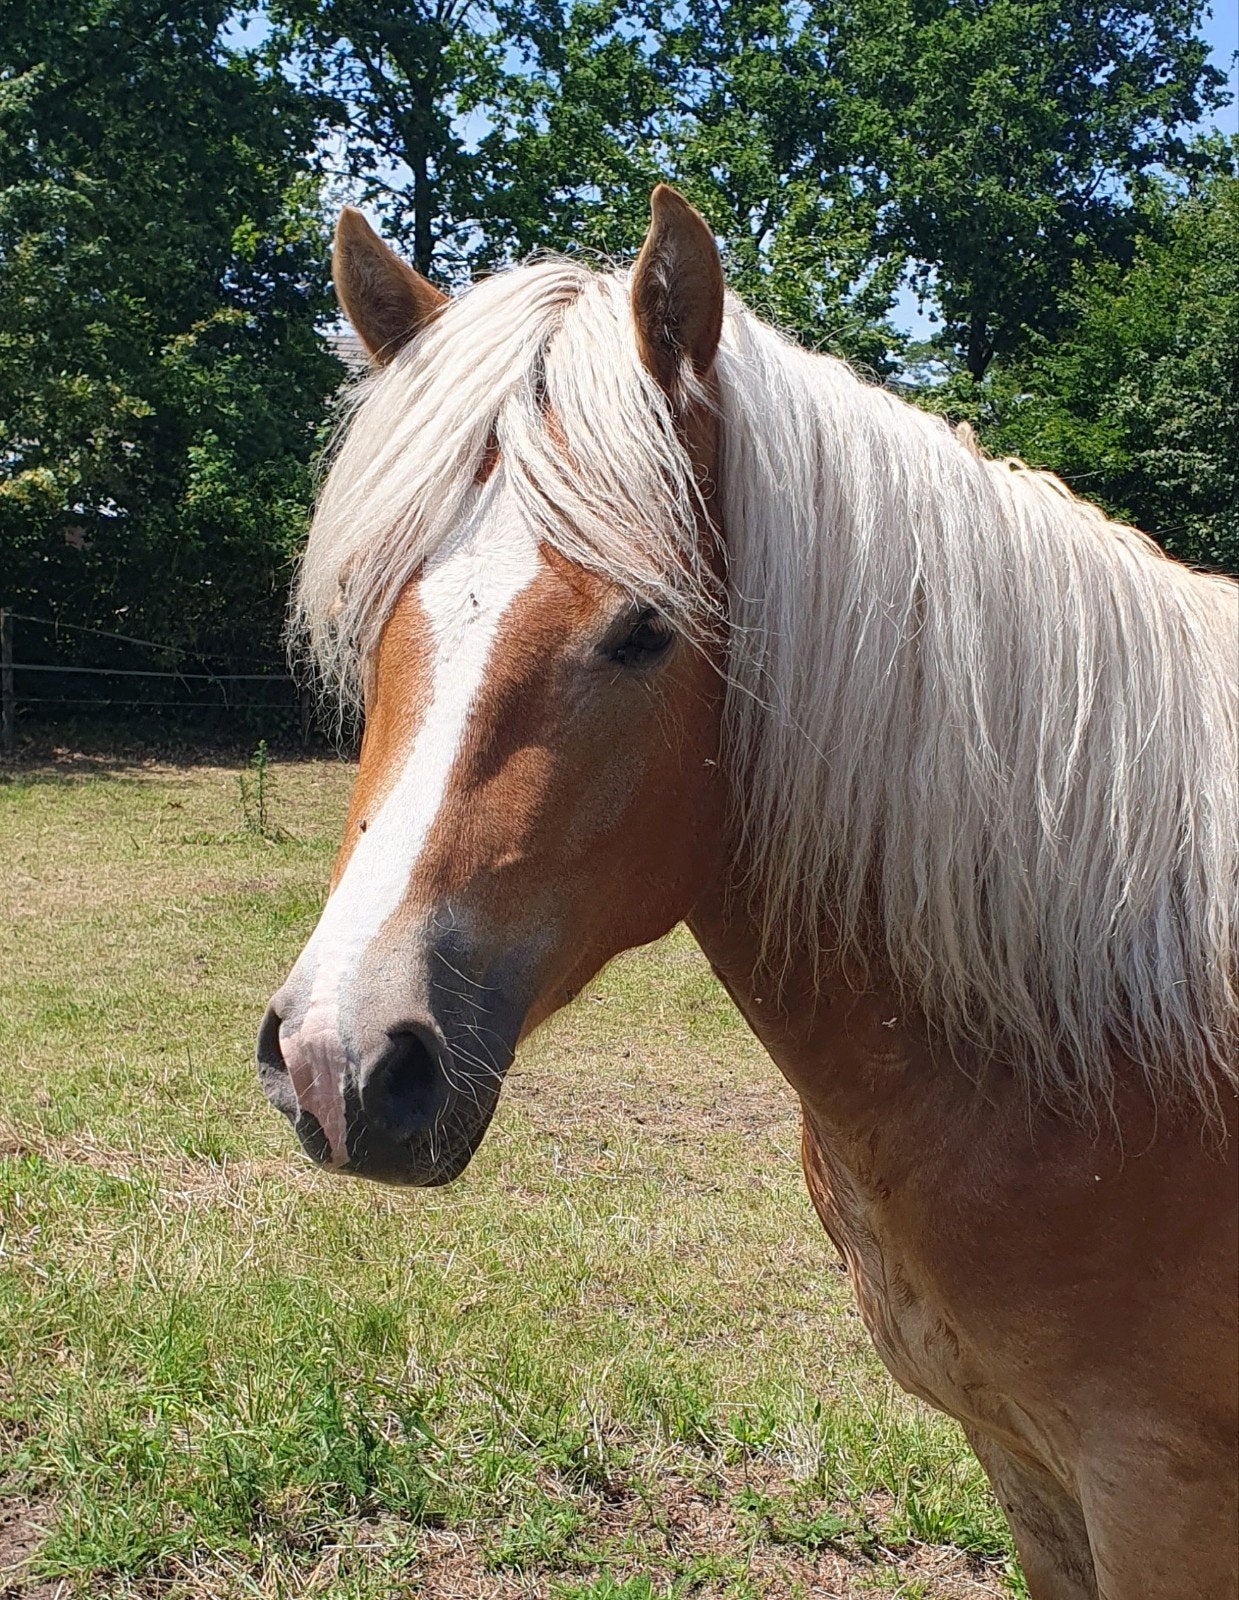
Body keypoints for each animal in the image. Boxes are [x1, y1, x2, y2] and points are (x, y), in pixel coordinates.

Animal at [258, 187, 1238, 1599]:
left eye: (644, 630)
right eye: (377, 607)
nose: (340, 1063)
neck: (1107, 1038)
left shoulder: (1162, 1494)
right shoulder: (1032, 1470)